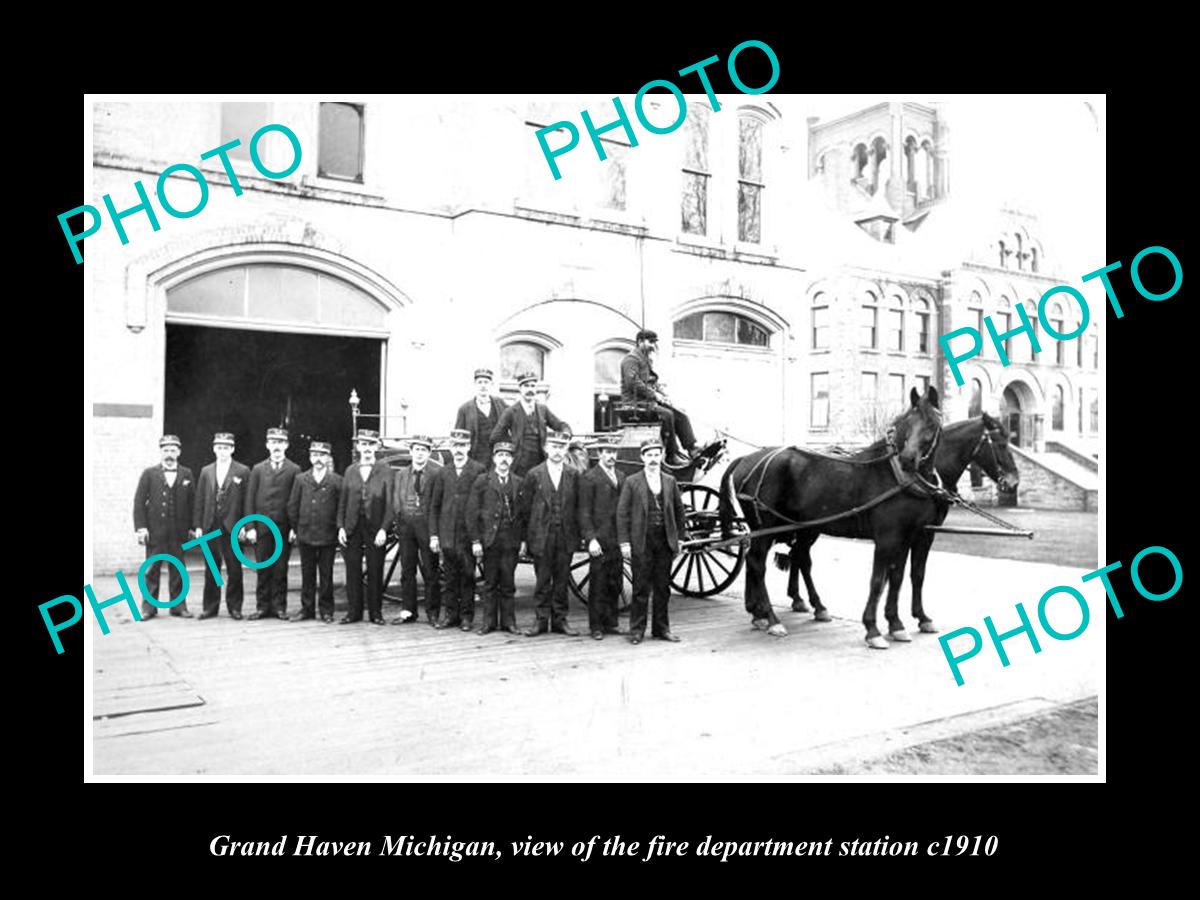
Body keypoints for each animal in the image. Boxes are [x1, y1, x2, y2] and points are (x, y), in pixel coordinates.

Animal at [715, 388, 940, 648]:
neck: (896, 475)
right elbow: (878, 580)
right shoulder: (887, 537)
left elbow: (903, 577)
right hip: (768, 527)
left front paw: (900, 623)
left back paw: (762, 613)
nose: (907, 459)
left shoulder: (913, 536)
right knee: (757, 563)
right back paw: (771, 619)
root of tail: (747, 459)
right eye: (907, 423)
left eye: (932, 424)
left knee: (772, 559)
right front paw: (873, 629)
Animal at [772, 415, 1017, 633]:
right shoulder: (909, 534)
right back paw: (811, 604)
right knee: (802, 558)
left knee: (799, 556)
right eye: (1001, 443)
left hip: (807, 527)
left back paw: (802, 600)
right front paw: (899, 620)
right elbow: (900, 575)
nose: (1013, 481)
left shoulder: (919, 534)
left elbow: (912, 575)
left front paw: (916, 618)